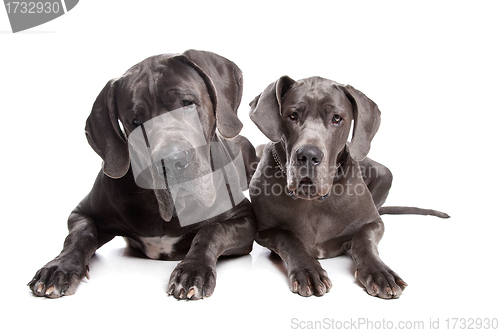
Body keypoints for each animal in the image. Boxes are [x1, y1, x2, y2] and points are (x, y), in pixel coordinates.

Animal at [28, 50, 258, 300]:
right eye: (136, 122)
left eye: (187, 103)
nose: (172, 161)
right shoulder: (82, 212)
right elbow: (81, 234)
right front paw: (59, 268)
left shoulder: (245, 218)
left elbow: (212, 230)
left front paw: (192, 270)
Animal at [250, 75, 450, 298]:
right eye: (292, 116)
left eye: (337, 118)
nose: (308, 155)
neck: (314, 201)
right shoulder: (264, 232)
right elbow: (288, 237)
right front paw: (308, 271)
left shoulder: (374, 223)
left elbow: (363, 240)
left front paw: (380, 272)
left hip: (385, 173)